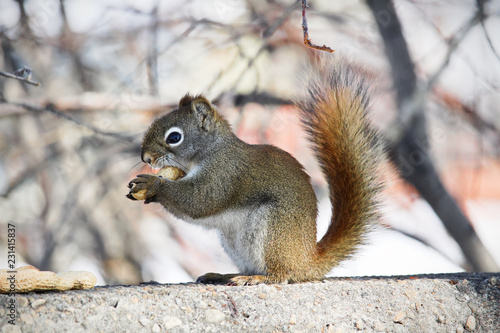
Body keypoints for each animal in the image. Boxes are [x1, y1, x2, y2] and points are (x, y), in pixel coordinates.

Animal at [127, 58, 380, 284]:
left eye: (174, 137)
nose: (145, 157)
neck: (211, 151)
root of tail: (307, 261)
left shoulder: (225, 173)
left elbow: (200, 201)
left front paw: (153, 185)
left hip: (273, 230)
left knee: (282, 274)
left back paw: (258, 278)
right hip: (234, 242)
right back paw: (225, 275)